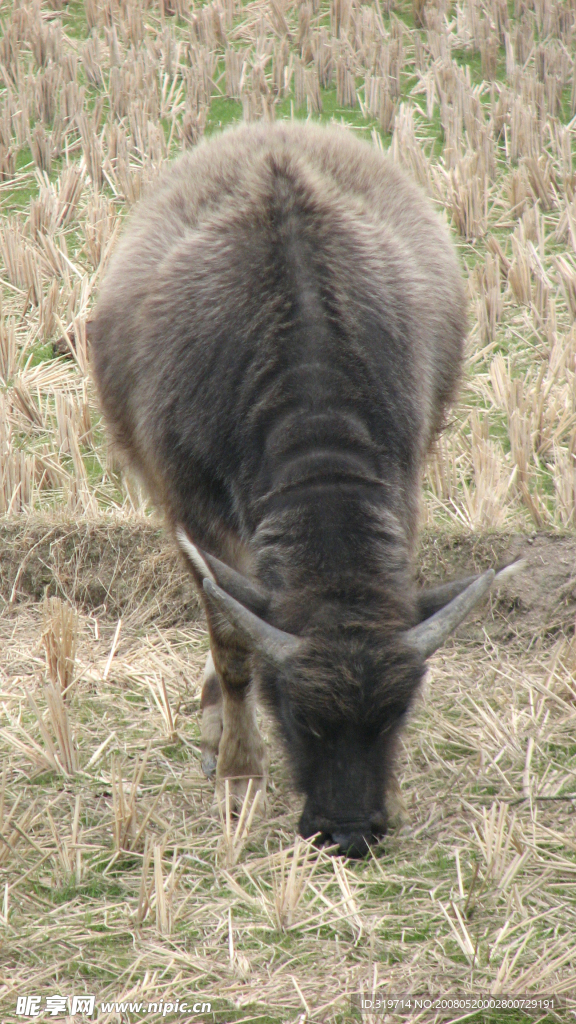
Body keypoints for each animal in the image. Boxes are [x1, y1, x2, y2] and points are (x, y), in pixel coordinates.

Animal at [90, 119, 494, 856]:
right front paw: (239, 771)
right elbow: (232, 643)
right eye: (299, 714)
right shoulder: (191, 512)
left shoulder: (404, 485)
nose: (350, 831)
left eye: (397, 713)